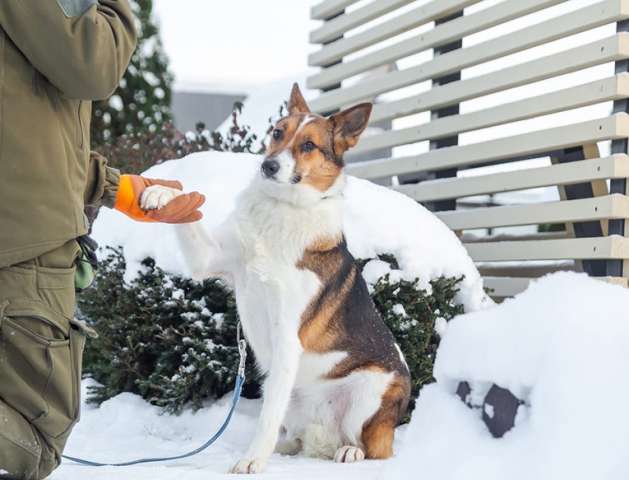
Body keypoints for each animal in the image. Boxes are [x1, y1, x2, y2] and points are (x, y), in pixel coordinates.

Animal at [140, 85, 410, 472]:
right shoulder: (211, 260)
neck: (283, 208)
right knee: (293, 433)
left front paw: (252, 461)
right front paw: (163, 193)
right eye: (278, 133)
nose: (268, 166)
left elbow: (266, 419)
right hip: (289, 393)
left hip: (371, 391)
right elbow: (188, 212)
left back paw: (350, 451)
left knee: (376, 447)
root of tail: (323, 433)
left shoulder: (286, 336)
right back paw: (286, 447)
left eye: (309, 145)